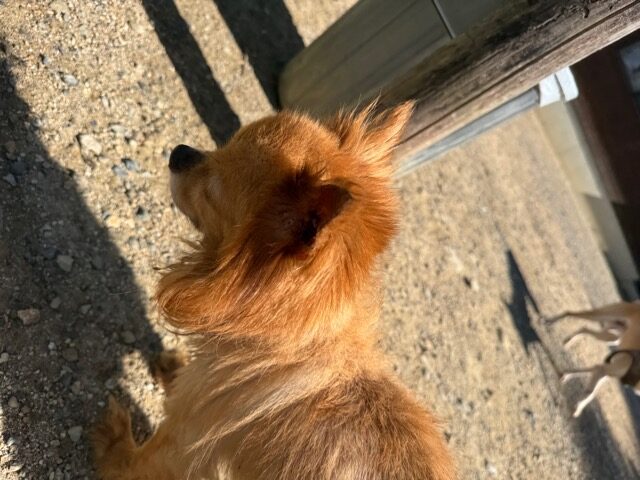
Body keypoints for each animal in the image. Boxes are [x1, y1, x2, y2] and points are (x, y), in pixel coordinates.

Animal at [92, 103, 456, 480]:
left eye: (211, 190)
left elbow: (131, 463)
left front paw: (114, 440)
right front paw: (173, 370)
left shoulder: (184, 440)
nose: (180, 152)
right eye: (222, 145)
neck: (289, 344)